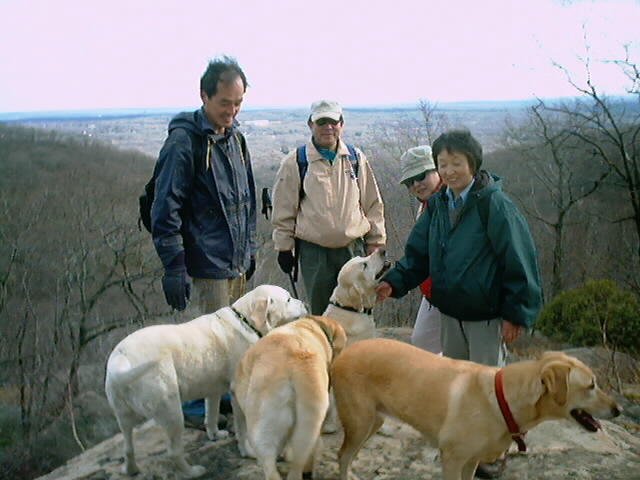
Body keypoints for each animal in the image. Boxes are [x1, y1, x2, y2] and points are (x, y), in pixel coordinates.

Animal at [104, 284, 308, 476]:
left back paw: (131, 470)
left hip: (124, 417)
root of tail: (121, 358)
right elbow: (242, 429)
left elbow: (211, 415)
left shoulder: (212, 390)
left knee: (128, 447)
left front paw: (215, 435)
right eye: (288, 299)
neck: (246, 321)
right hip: (171, 410)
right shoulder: (237, 392)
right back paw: (193, 472)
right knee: (173, 452)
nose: (305, 304)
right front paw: (247, 452)